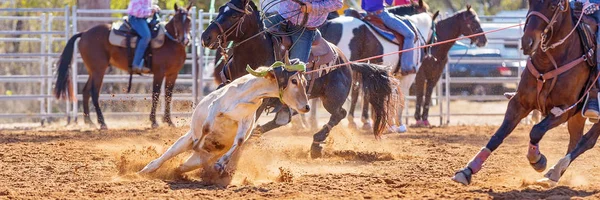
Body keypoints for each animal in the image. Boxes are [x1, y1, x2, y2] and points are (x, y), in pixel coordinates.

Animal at [54, 5, 192, 130]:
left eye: (189, 21)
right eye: (176, 20)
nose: (185, 40)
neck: (170, 42)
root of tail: (84, 33)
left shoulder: (173, 74)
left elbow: (169, 95)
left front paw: (169, 121)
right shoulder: (159, 72)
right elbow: (156, 94)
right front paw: (154, 121)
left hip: (92, 71)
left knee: (85, 91)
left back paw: (89, 122)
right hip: (99, 70)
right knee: (94, 92)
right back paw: (102, 123)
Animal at [139, 61, 310, 186]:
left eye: (304, 81)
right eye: (294, 81)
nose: (307, 107)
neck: (247, 96)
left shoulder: (245, 122)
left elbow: (239, 141)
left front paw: (220, 164)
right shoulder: (215, 107)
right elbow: (207, 127)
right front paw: (199, 144)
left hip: (194, 162)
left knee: (180, 167)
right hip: (182, 142)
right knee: (164, 157)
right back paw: (145, 170)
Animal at [202, 0, 398, 158]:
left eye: (234, 15)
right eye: (220, 9)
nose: (205, 37)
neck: (255, 54)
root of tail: (346, 62)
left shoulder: (263, 99)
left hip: (332, 98)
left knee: (339, 114)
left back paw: (316, 143)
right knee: (285, 118)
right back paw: (260, 133)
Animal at [450, 0, 592, 185]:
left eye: (553, 6)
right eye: (530, 3)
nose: (527, 42)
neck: (550, 63)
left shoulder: (565, 109)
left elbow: (536, 130)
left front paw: (537, 159)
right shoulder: (519, 103)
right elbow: (498, 135)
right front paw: (467, 170)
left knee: (586, 141)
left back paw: (554, 171)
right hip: (578, 117)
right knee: (575, 139)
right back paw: (555, 174)